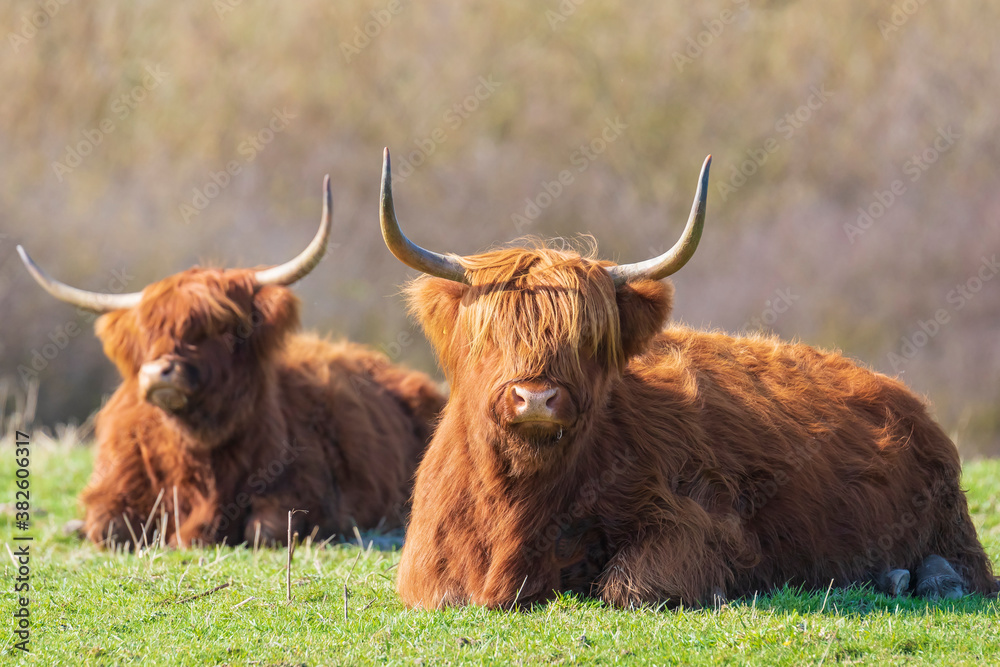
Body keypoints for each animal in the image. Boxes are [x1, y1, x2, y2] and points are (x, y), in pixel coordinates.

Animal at [14, 177, 446, 548]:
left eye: (216, 328)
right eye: (147, 335)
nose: (157, 373)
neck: (198, 453)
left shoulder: (300, 493)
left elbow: (264, 529)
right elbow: (108, 528)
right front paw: (77, 526)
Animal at [376, 149, 1000, 608]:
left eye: (589, 339)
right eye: (489, 336)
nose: (536, 397)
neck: (520, 499)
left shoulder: (701, 525)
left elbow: (630, 585)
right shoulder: (428, 570)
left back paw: (918, 578)